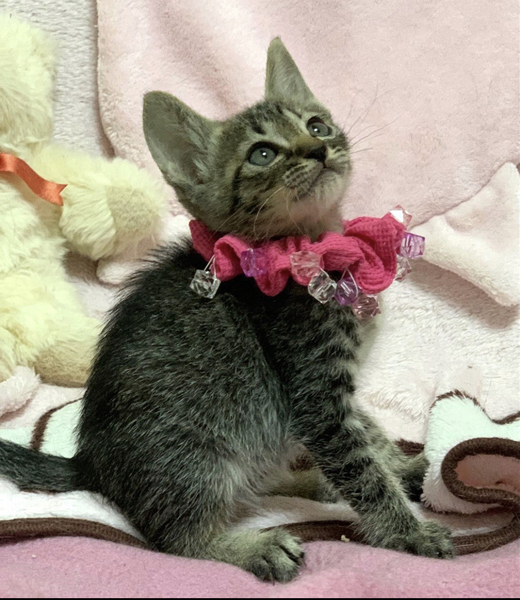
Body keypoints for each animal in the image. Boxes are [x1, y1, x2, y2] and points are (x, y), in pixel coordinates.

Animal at [0, 38, 453, 582]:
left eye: (316, 125)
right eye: (263, 154)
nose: (318, 148)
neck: (315, 247)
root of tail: (92, 463)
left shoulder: (335, 389)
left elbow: (369, 433)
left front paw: (401, 467)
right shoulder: (315, 392)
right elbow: (360, 468)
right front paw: (409, 532)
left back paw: (308, 483)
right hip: (200, 457)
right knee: (178, 538)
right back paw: (252, 545)